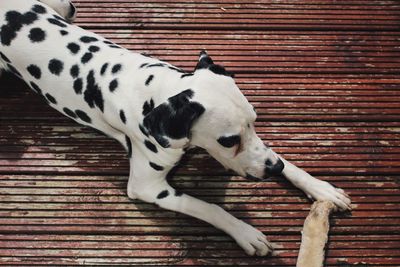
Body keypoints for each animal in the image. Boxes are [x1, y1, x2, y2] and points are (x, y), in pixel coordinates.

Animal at [0, 0, 350, 258]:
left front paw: (319, 187)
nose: (273, 170)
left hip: (66, 8)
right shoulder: (148, 187)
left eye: (255, 119)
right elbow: (209, 207)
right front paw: (245, 232)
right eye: (228, 140)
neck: (156, 89)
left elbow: (282, 158)